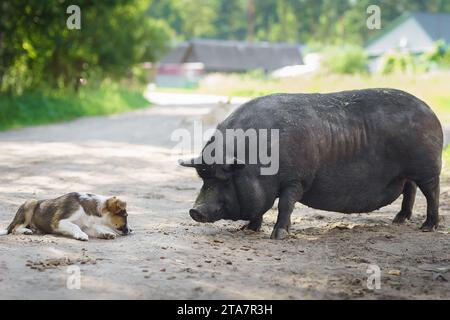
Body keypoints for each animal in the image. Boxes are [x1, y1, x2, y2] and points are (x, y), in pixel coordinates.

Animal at [0, 192, 131, 240]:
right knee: (14, 229)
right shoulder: (59, 222)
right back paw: (26, 231)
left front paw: (106, 233)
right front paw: (81, 236)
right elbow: (74, 227)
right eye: (125, 215)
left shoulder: (86, 226)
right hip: (31, 203)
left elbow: (95, 229)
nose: (131, 230)